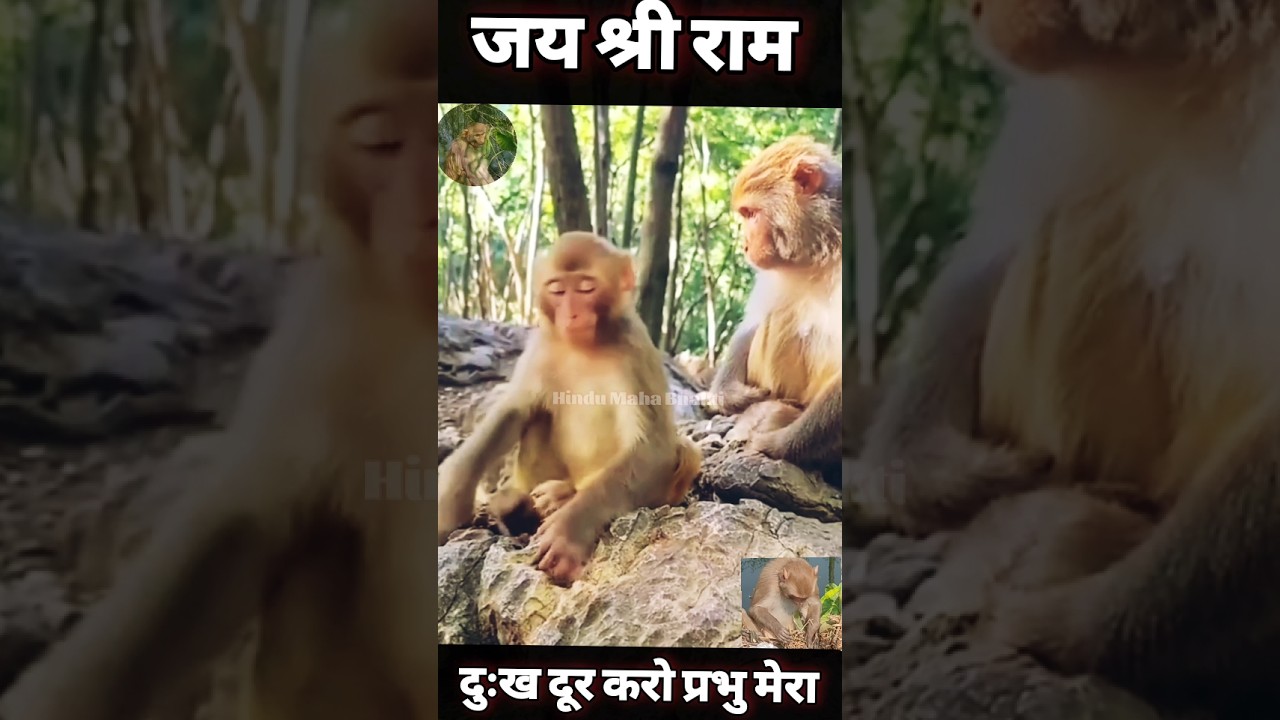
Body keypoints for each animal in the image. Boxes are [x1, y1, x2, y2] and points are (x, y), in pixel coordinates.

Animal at [436, 231, 703, 587]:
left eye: (587, 288)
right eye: (557, 289)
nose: (571, 313)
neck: (585, 346)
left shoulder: (634, 349)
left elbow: (653, 447)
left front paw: (567, 533)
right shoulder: (541, 345)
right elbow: (515, 410)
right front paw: (450, 498)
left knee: (685, 450)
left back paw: (562, 498)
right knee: (538, 415)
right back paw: (525, 506)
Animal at [709, 136, 843, 469]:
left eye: (751, 214)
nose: (745, 246)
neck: (821, 250)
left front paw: (779, 444)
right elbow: (754, 319)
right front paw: (731, 395)